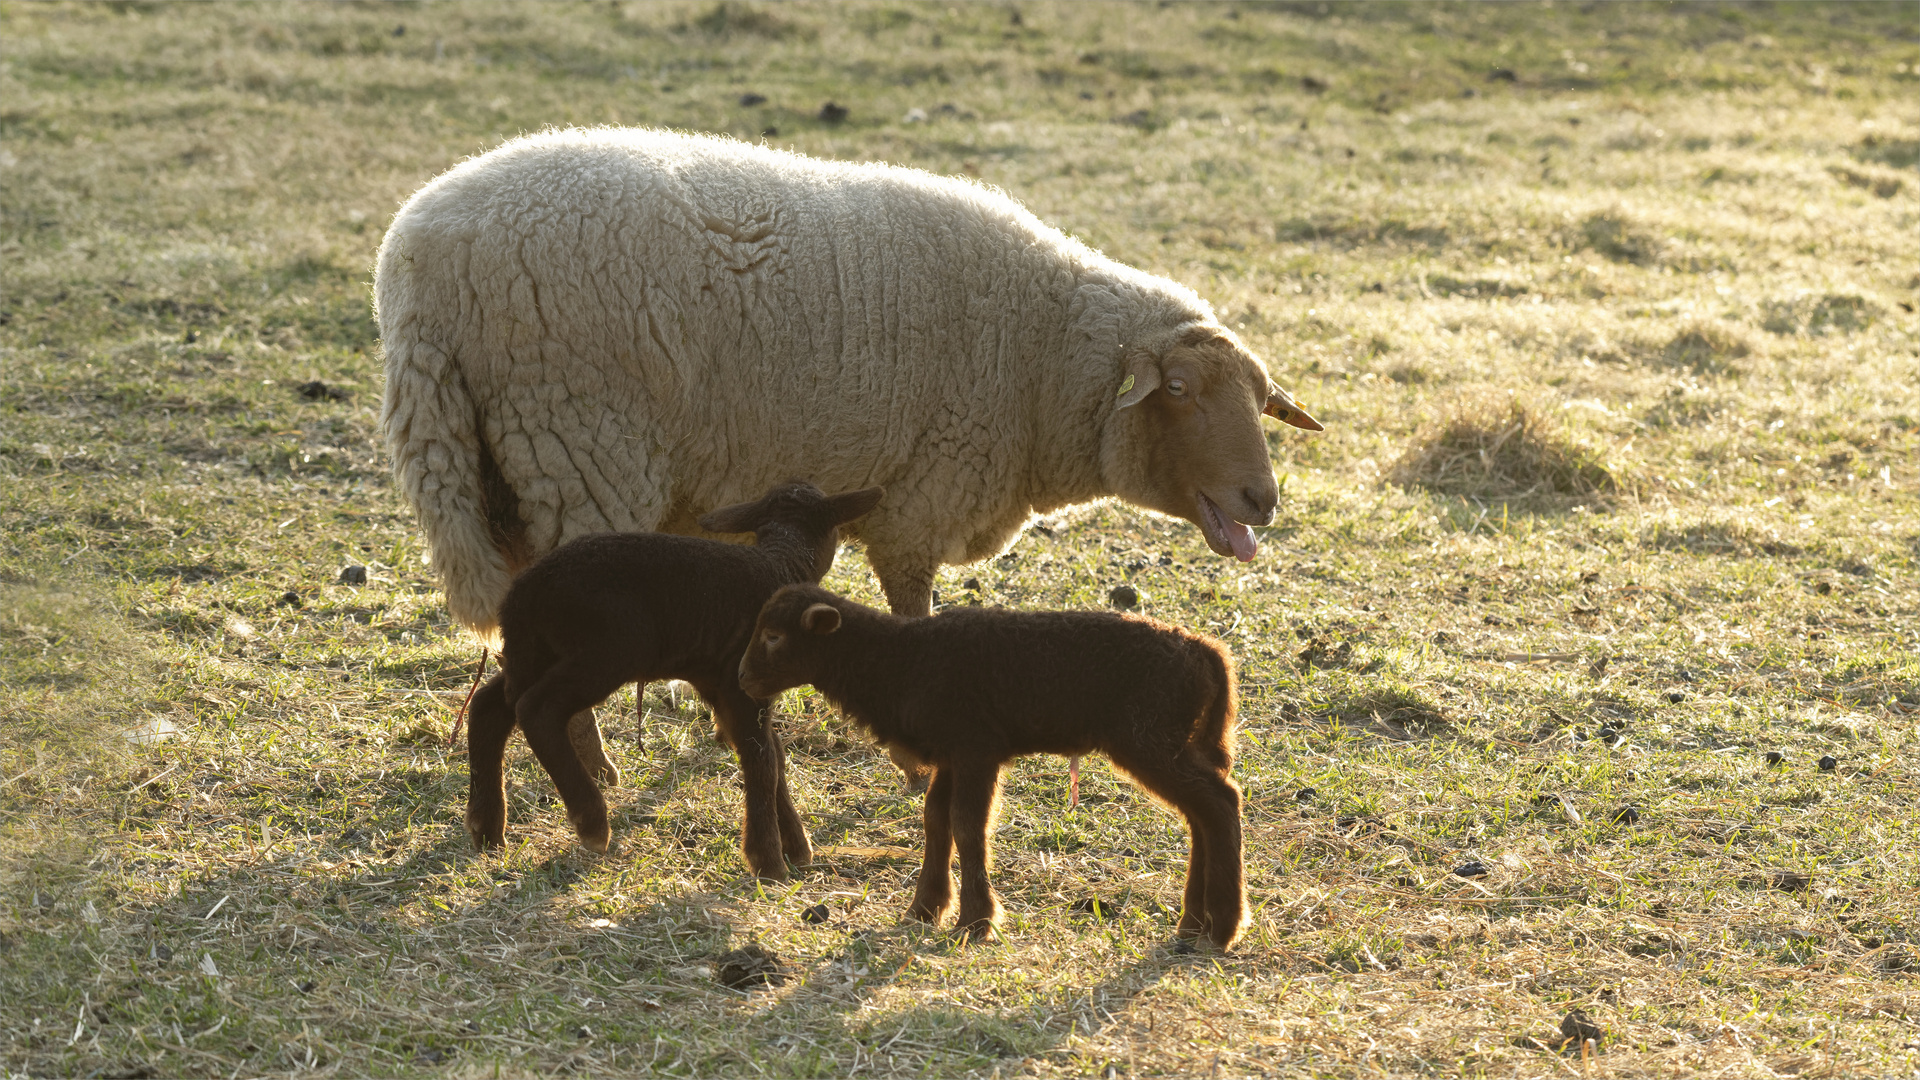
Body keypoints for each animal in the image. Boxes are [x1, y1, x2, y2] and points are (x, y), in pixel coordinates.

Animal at [464, 478, 883, 876]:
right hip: (606, 650)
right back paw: (591, 821)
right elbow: (761, 758)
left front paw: (794, 846)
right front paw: (768, 860)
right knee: (537, 708)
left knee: (489, 707)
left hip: (533, 652)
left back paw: (486, 827)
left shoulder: (720, 684)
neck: (782, 562)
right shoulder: (741, 685)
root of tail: (524, 591)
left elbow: (773, 755)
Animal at [733, 584, 1244, 945]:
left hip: (1148, 741)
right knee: (1203, 813)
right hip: (1171, 743)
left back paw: (1222, 927)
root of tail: (1205, 650)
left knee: (1220, 802)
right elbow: (936, 820)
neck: (900, 658)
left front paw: (975, 921)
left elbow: (966, 824)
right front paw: (925, 909)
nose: (742, 678)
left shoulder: (976, 750)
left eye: (774, 636)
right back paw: (1193, 924)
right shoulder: (952, 756)